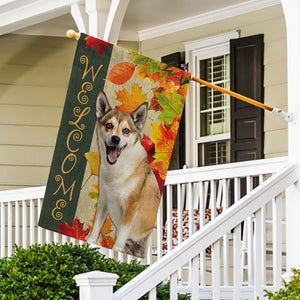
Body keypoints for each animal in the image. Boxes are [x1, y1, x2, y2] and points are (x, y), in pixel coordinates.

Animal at [86, 89, 161, 258]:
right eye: (109, 125)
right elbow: (97, 224)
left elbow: (122, 233)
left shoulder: (131, 206)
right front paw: (91, 240)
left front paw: (116, 248)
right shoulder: (104, 200)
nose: (115, 139)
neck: (116, 169)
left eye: (126, 130)